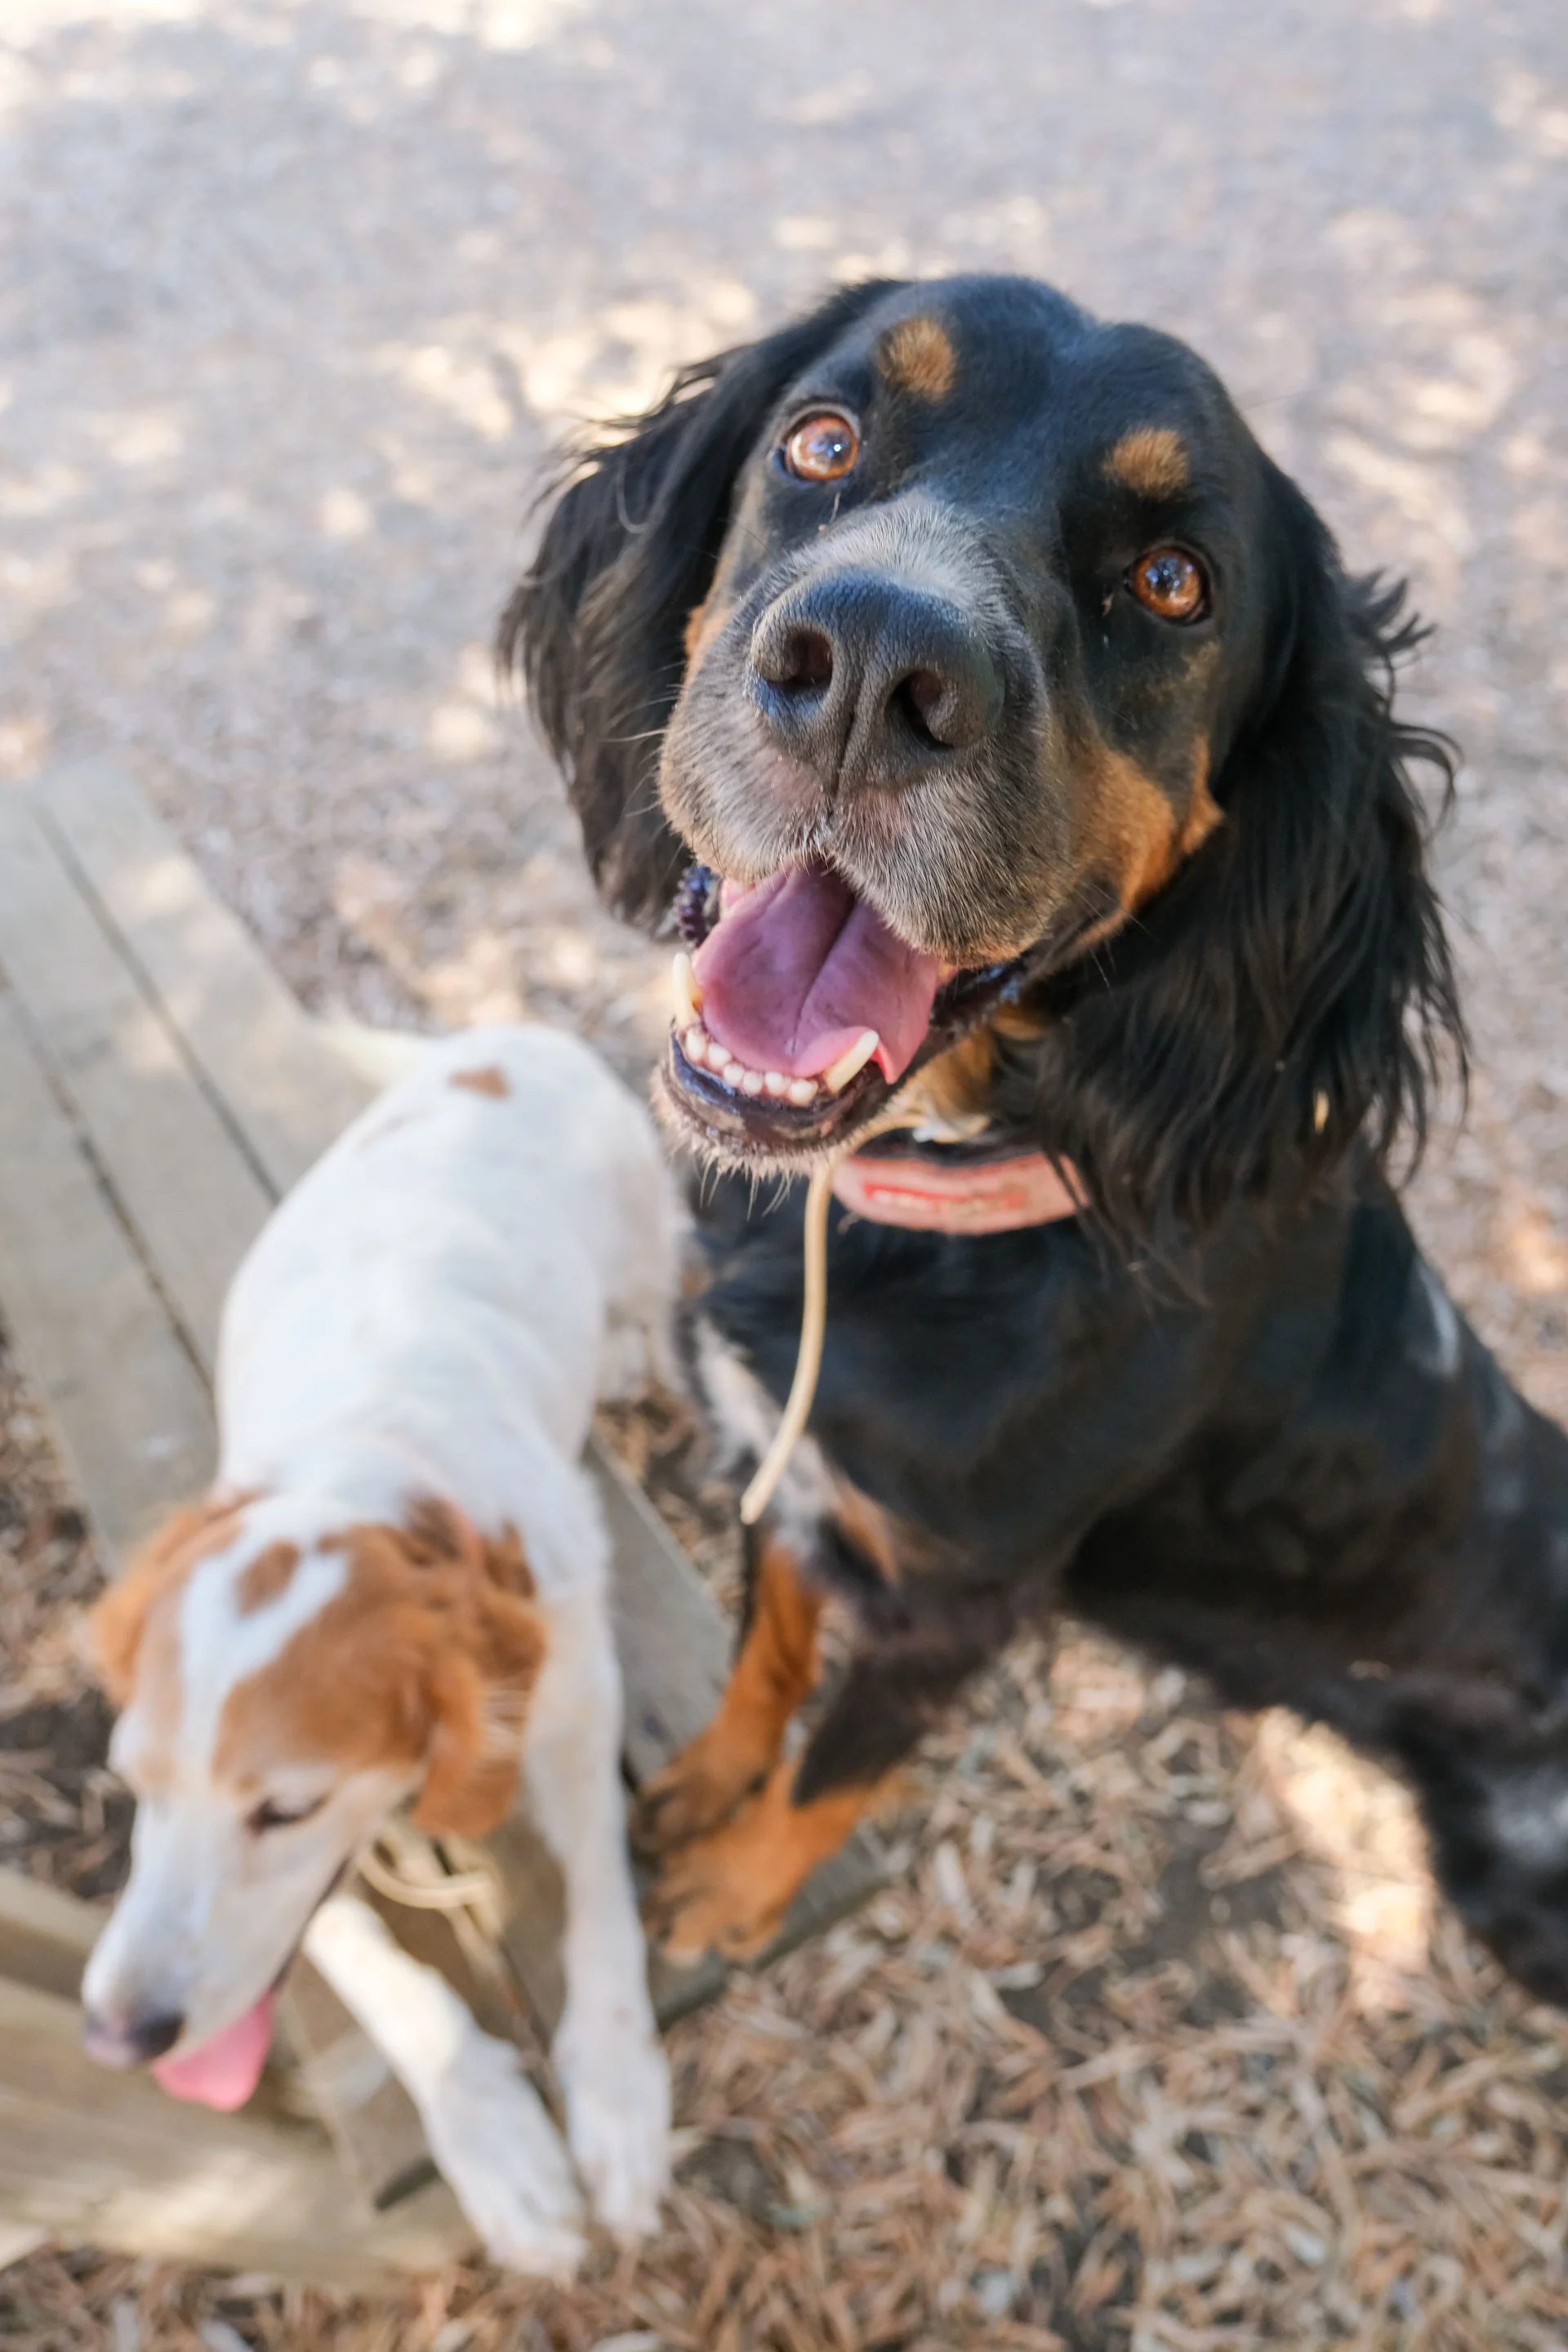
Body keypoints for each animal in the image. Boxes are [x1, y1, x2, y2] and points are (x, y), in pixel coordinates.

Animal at [82, 1024, 673, 2271]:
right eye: (132, 1782)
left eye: (287, 1809)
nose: (119, 2036)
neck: (361, 1460)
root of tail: (511, 1039)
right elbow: (356, 1951)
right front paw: (489, 2132)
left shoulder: (574, 1692)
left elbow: (600, 1893)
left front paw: (616, 2096)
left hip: (651, 1234)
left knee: (658, 1301)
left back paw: (632, 1355)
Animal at [502, 272, 1568, 2008]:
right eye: (822, 439)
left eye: (1172, 582)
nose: (870, 666)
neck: (902, 1211)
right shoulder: (794, 1476)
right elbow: (764, 1660)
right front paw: (706, 1782)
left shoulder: (952, 1602)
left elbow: (834, 1765)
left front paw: (734, 1892)